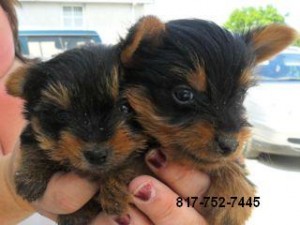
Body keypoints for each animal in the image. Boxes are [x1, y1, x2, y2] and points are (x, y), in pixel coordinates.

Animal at [6, 44, 148, 224]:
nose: (96, 155)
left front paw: (114, 195)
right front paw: (30, 177)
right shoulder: (34, 129)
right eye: (62, 115)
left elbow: (132, 163)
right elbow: (35, 144)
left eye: (125, 107)